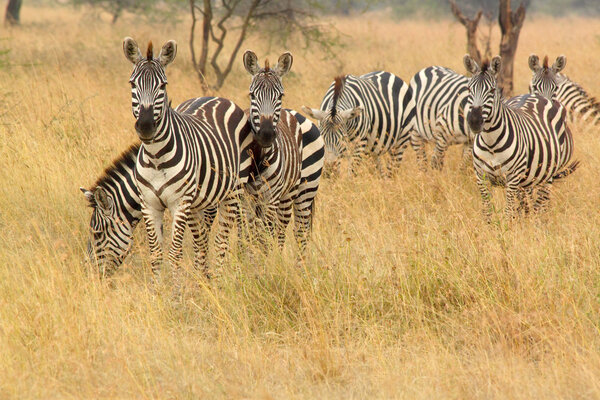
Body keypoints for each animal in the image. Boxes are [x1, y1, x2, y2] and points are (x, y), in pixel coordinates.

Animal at [122, 38, 253, 282]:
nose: (145, 126)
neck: (156, 157)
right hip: (203, 200)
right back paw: (204, 280)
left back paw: (218, 282)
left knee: (221, 241)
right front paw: (157, 290)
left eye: (163, 86)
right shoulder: (149, 204)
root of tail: (215, 96)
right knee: (202, 242)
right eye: (132, 84)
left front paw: (175, 291)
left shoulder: (180, 204)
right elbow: (156, 255)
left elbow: (175, 253)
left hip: (233, 192)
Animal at [241, 50, 324, 253]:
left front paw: (263, 261)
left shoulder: (271, 198)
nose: (266, 134)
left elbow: (263, 238)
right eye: (252, 94)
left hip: (301, 192)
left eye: (280, 95)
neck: (259, 159)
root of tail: (292, 112)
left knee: (294, 232)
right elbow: (248, 235)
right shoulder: (246, 199)